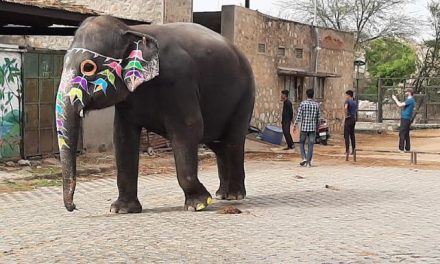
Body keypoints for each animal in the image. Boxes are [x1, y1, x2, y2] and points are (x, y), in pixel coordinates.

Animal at [55, 15, 254, 213]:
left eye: (88, 67)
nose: (73, 207)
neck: (131, 30)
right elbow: (122, 138)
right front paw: (121, 210)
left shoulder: (180, 83)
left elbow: (189, 129)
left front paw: (199, 204)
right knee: (218, 144)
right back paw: (222, 195)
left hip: (245, 97)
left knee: (233, 141)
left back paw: (234, 195)